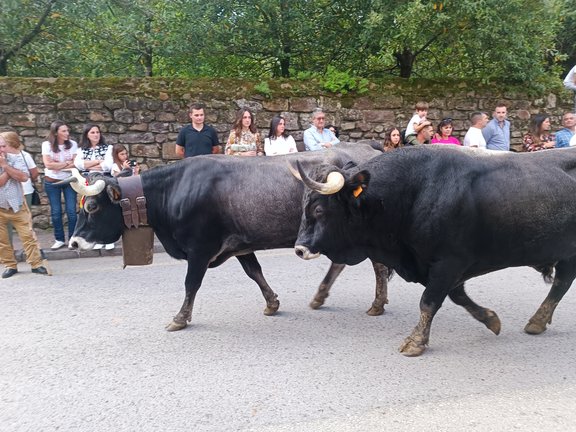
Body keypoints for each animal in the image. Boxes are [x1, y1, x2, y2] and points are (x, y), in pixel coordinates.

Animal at [294, 145, 576, 358]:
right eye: (303, 204)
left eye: (319, 209)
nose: (299, 248)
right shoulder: (446, 268)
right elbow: (458, 297)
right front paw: (490, 319)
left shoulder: (448, 263)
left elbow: (429, 301)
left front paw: (416, 341)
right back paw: (537, 321)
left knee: (561, 282)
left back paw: (537, 320)